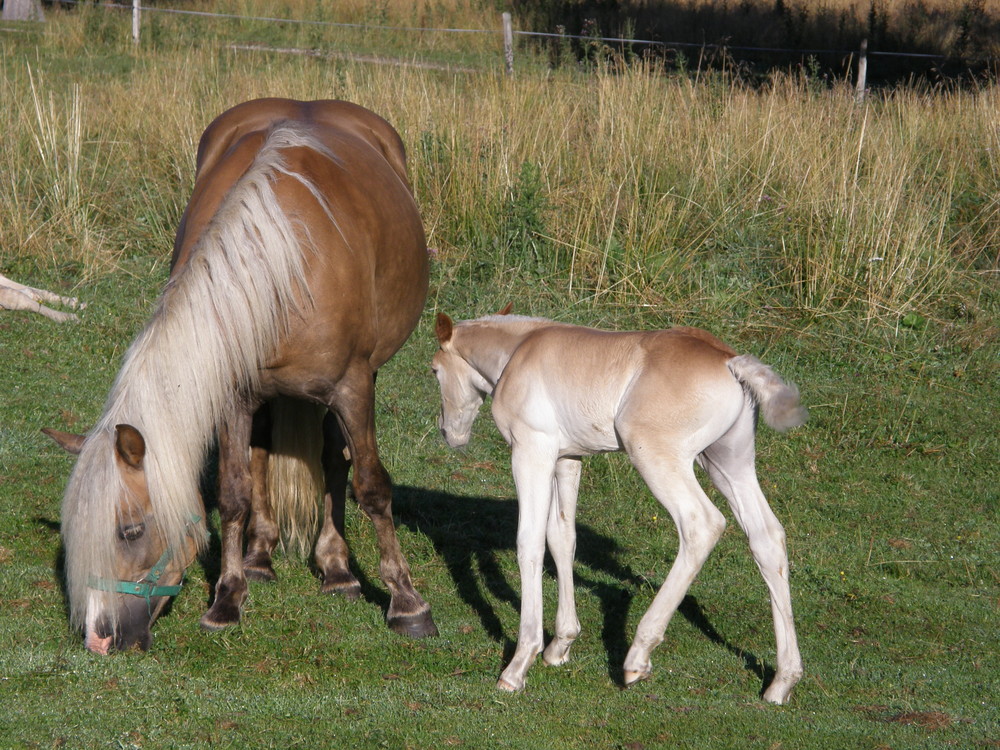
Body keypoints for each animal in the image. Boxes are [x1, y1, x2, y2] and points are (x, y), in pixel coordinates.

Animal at [47, 98, 438, 652]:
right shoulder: (233, 393)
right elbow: (233, 492)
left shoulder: (353, 387)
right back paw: (259, 557)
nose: (100, 640)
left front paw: (407, 602)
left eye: (130, 530)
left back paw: (337, 569)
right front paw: (227, 598)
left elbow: (370, 487)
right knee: (261, 458)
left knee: (333, 461)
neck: (283, 264)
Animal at [434, 306, 808, 704]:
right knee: (767, 537)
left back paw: (637, 657)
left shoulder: (530, 452)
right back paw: (782, 682)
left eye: (435, 370)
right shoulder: (567, 458)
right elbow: (562, 538)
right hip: (727, 461)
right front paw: (560, 645)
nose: (449, 433)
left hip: (656, 455)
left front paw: (519, 665)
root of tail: (728, 360)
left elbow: (529, 543)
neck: (518, 351)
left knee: (701, 524)